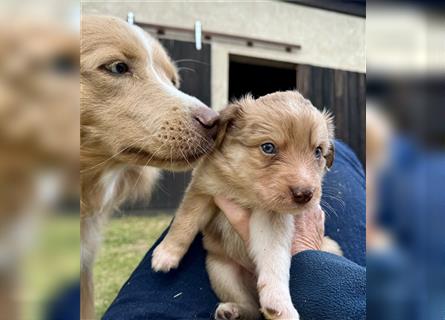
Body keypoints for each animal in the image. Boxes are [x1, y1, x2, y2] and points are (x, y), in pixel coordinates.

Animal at [152, 90, 332, 320]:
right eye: (268, 147)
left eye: (318, 151)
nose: (305, 194)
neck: (244, 190)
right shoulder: (204, 190)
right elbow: (184, 223)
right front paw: (166, 254)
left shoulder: (272, 219)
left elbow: (274, 258)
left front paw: (279, 303)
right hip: (222, 272)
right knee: (250, 307)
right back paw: (232, 311)